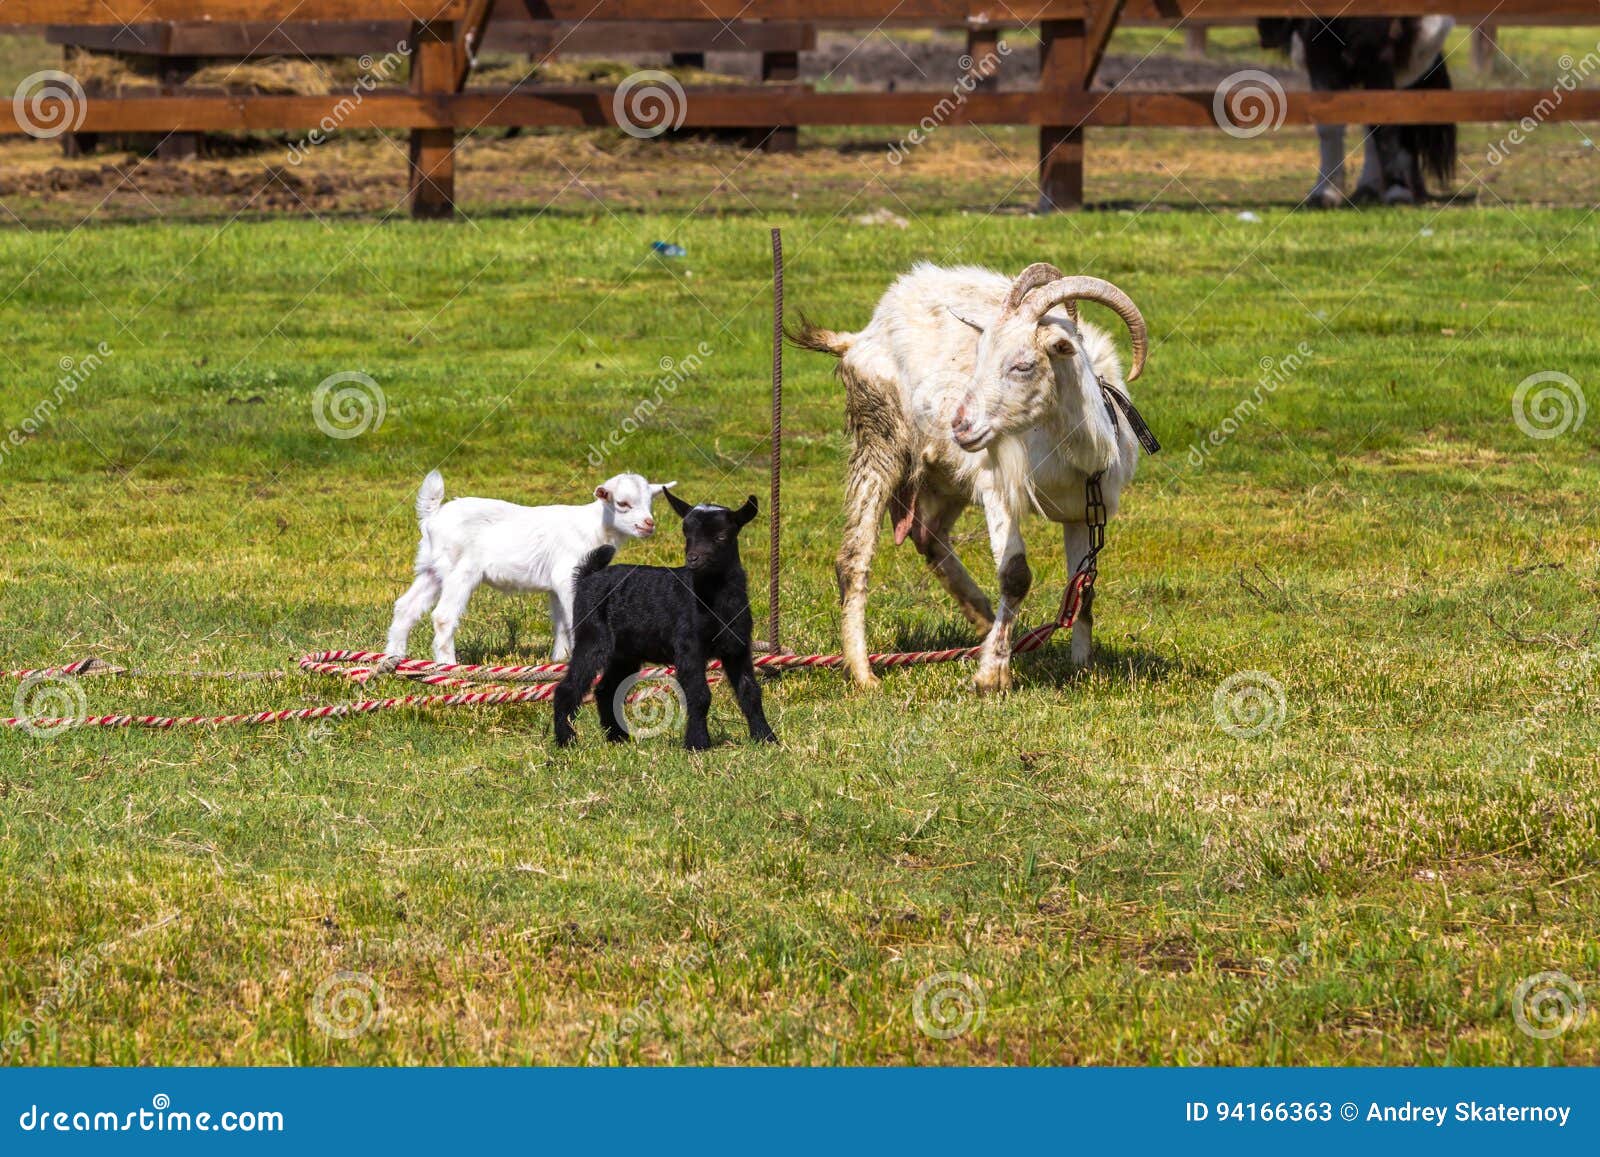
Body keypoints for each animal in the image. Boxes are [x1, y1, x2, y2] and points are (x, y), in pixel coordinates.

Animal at [386, 470, 673, 664]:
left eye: (651, 502)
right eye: (622, 504)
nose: (649, 524)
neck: (595, 527)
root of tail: (432, 517)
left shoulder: (557, 585)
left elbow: (561, 622)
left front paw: (559, 660)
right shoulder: (568, 574)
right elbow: (574, 618)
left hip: (430, 568)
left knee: (405, 607)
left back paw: (394, 659)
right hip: (460, 571)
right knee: (443, 616)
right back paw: (449, 666)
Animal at [552, 490, 776, 751]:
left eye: (721, 536)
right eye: (687, 534)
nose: (693, 559)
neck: (713, 598)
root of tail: (588, 577)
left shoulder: (738, 647)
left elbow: (750, 691)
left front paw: (766, 737)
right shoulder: (688, 647)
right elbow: (699, 695)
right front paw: (698, 743)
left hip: (625, 652)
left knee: (606, 689)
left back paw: (618, 737)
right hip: (592, 636)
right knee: (569, 686)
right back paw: (565, 739)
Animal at [791, 262, 1148, 694]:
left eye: (1024, 364)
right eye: (979, 357)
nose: (961, 425)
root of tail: (858, 337)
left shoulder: (1084, 509)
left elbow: (1082, 585)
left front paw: (1081, 667)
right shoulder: (998, 488)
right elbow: (1015, 576)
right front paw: (991, 675)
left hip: (945, 478)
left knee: (928, 536)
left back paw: (984, 622)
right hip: (880, 436)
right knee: (853, 558)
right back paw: (863, 673)